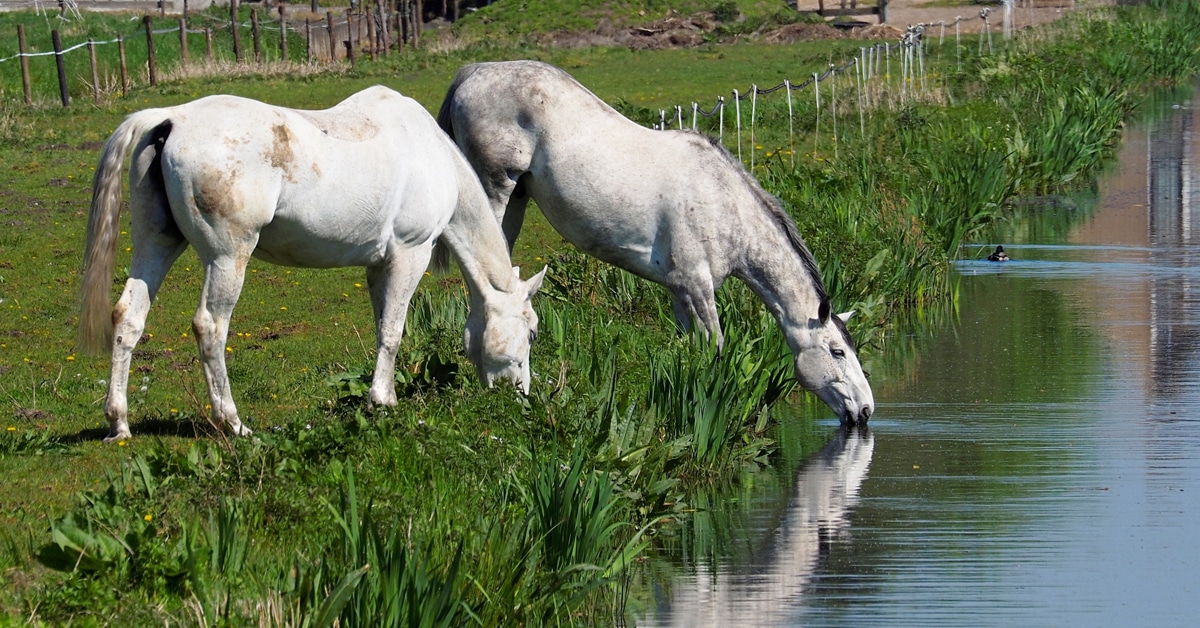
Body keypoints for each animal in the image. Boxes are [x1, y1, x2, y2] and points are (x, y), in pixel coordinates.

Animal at [79, 86, 546, 443]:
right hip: (228, 258)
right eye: (532, 332)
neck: (431, 153)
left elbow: (382, 326)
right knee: (210, 326)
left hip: (156, 244)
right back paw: (233, 423)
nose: (522, 393)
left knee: (128, 316)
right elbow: (394, 331)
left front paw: (384, 395)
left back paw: (119, 423)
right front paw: (383, 401)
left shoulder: (378, 266)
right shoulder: (411, 254)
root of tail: (171, 119)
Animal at [436, 60, 873, 423]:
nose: (866, 409)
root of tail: (473, 72)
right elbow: (716, 345)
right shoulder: (699, 288)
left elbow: (692, 349)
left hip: (517, 200)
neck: (725, 205)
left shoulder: (680, 292)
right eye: (837, 351)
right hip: (495, 191)